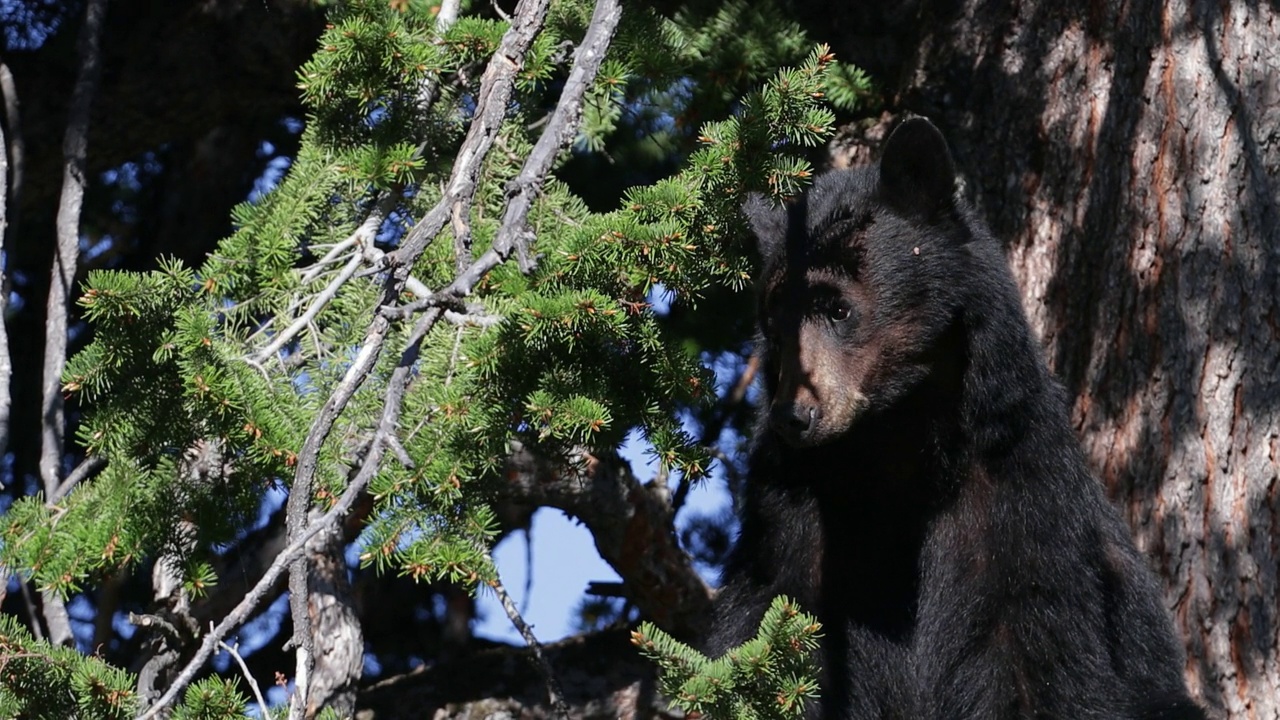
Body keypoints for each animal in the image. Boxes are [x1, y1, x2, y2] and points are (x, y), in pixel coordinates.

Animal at [706, 117, 1203, 717]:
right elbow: (763, 626)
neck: (898, 446)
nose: (793, 416)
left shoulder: (1022, 499)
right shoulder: (788, 513)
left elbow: (1040, 657)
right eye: (774, 329)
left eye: (837, 308)